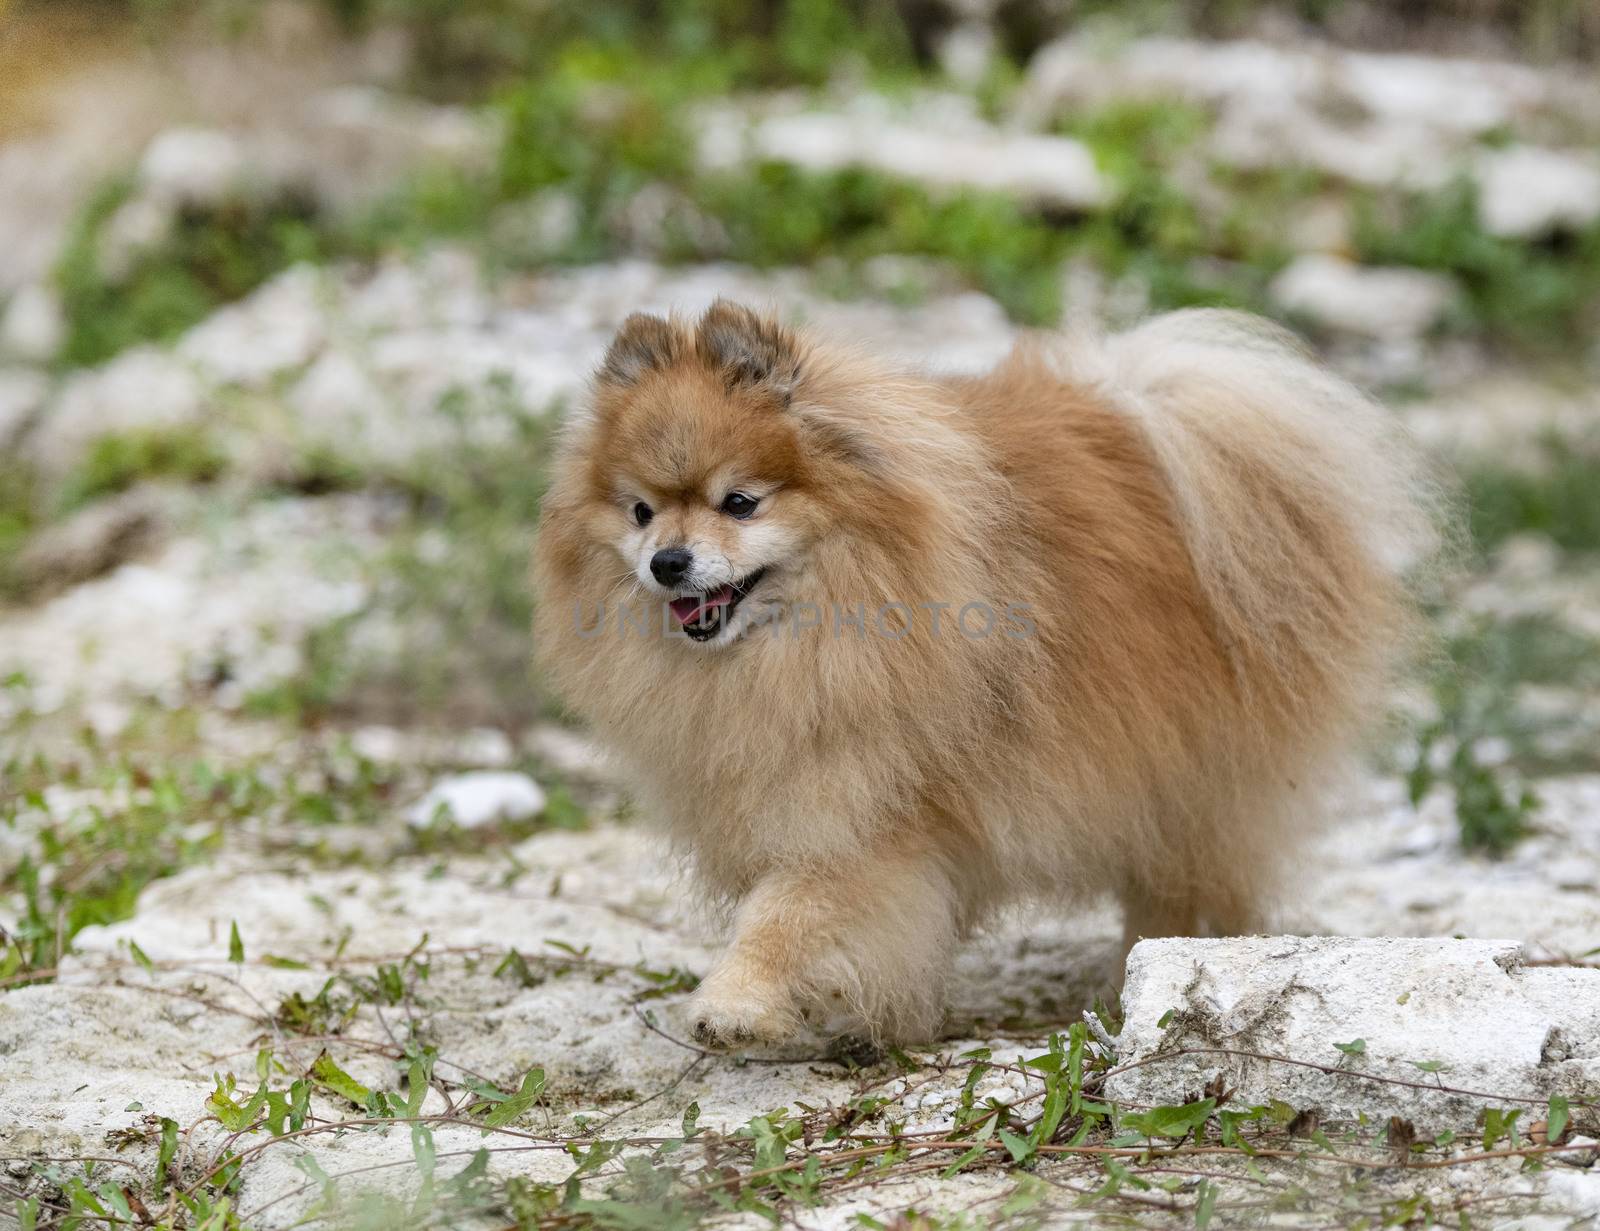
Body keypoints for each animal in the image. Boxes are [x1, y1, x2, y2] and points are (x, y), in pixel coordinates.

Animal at [534, 302, 1440, 1043]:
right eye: (641, 511)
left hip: (1199, 776)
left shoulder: (864, 812)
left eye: (740, 503)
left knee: (1186, 881)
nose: (668, 562)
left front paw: (735, 1003)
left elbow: (792, 912)